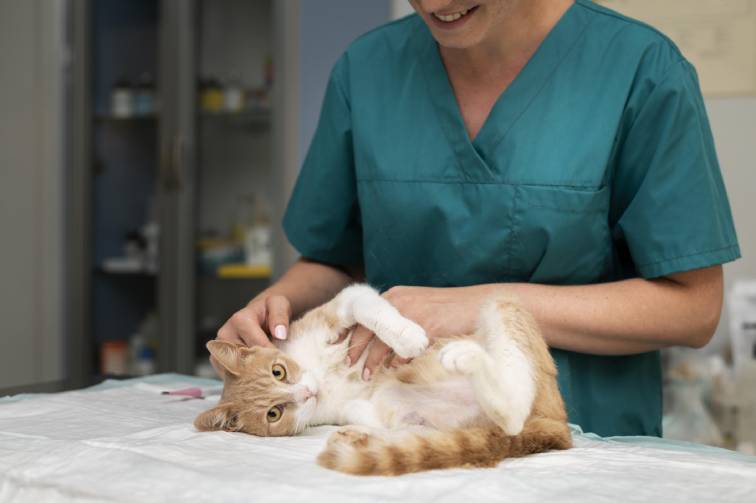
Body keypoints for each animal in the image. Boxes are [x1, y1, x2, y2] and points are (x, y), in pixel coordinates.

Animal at [195, 286, 572, 474]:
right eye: (274, 413)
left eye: (279, 371)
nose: (307, 392)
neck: (318, 375)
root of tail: (556, 424)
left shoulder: (344, 303)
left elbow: (368, 308)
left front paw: (406, 336)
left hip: (502, 301)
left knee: (514, 409)